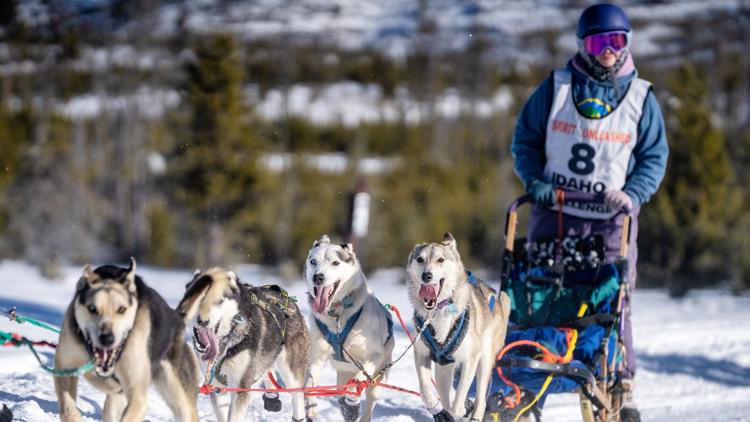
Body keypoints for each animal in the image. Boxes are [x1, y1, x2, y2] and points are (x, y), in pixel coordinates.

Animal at [54, 258, 201, 422]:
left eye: (121, 309)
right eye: (92, 308)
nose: (107, 338)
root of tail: (177, 318)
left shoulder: (137, 395)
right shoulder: (65, 368)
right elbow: (68, 409)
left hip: (179, 399)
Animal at [178, 268, 310, 420]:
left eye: (219, 301)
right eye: (198, 299)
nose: (203, 321)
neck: (227, 346)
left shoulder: (241, 388)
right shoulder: (217, 388)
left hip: (291, 371)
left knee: (297, 397)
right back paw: (271, 395)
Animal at [306, 236, 400, 422]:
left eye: (335, 262)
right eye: (313, 261)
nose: (317, 277)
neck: (337, 316)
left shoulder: (373, 357)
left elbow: (356, 383)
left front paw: (351, 404)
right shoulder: (317, 357)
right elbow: (309, 384)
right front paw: (310, 408)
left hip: (379, 376)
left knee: (369, 399)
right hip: (342, 374)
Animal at [408, 234, 516, 422]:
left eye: (440, 259)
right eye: (420, 259)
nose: (426, 275)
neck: (439, 311)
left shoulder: (470, 359)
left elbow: (458, 402)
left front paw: (459, 410)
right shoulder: (421, 354)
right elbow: (425, 391)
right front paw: (438, 410)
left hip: (484, 361)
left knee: (481, 401)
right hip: (443, 370)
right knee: (444, 394)